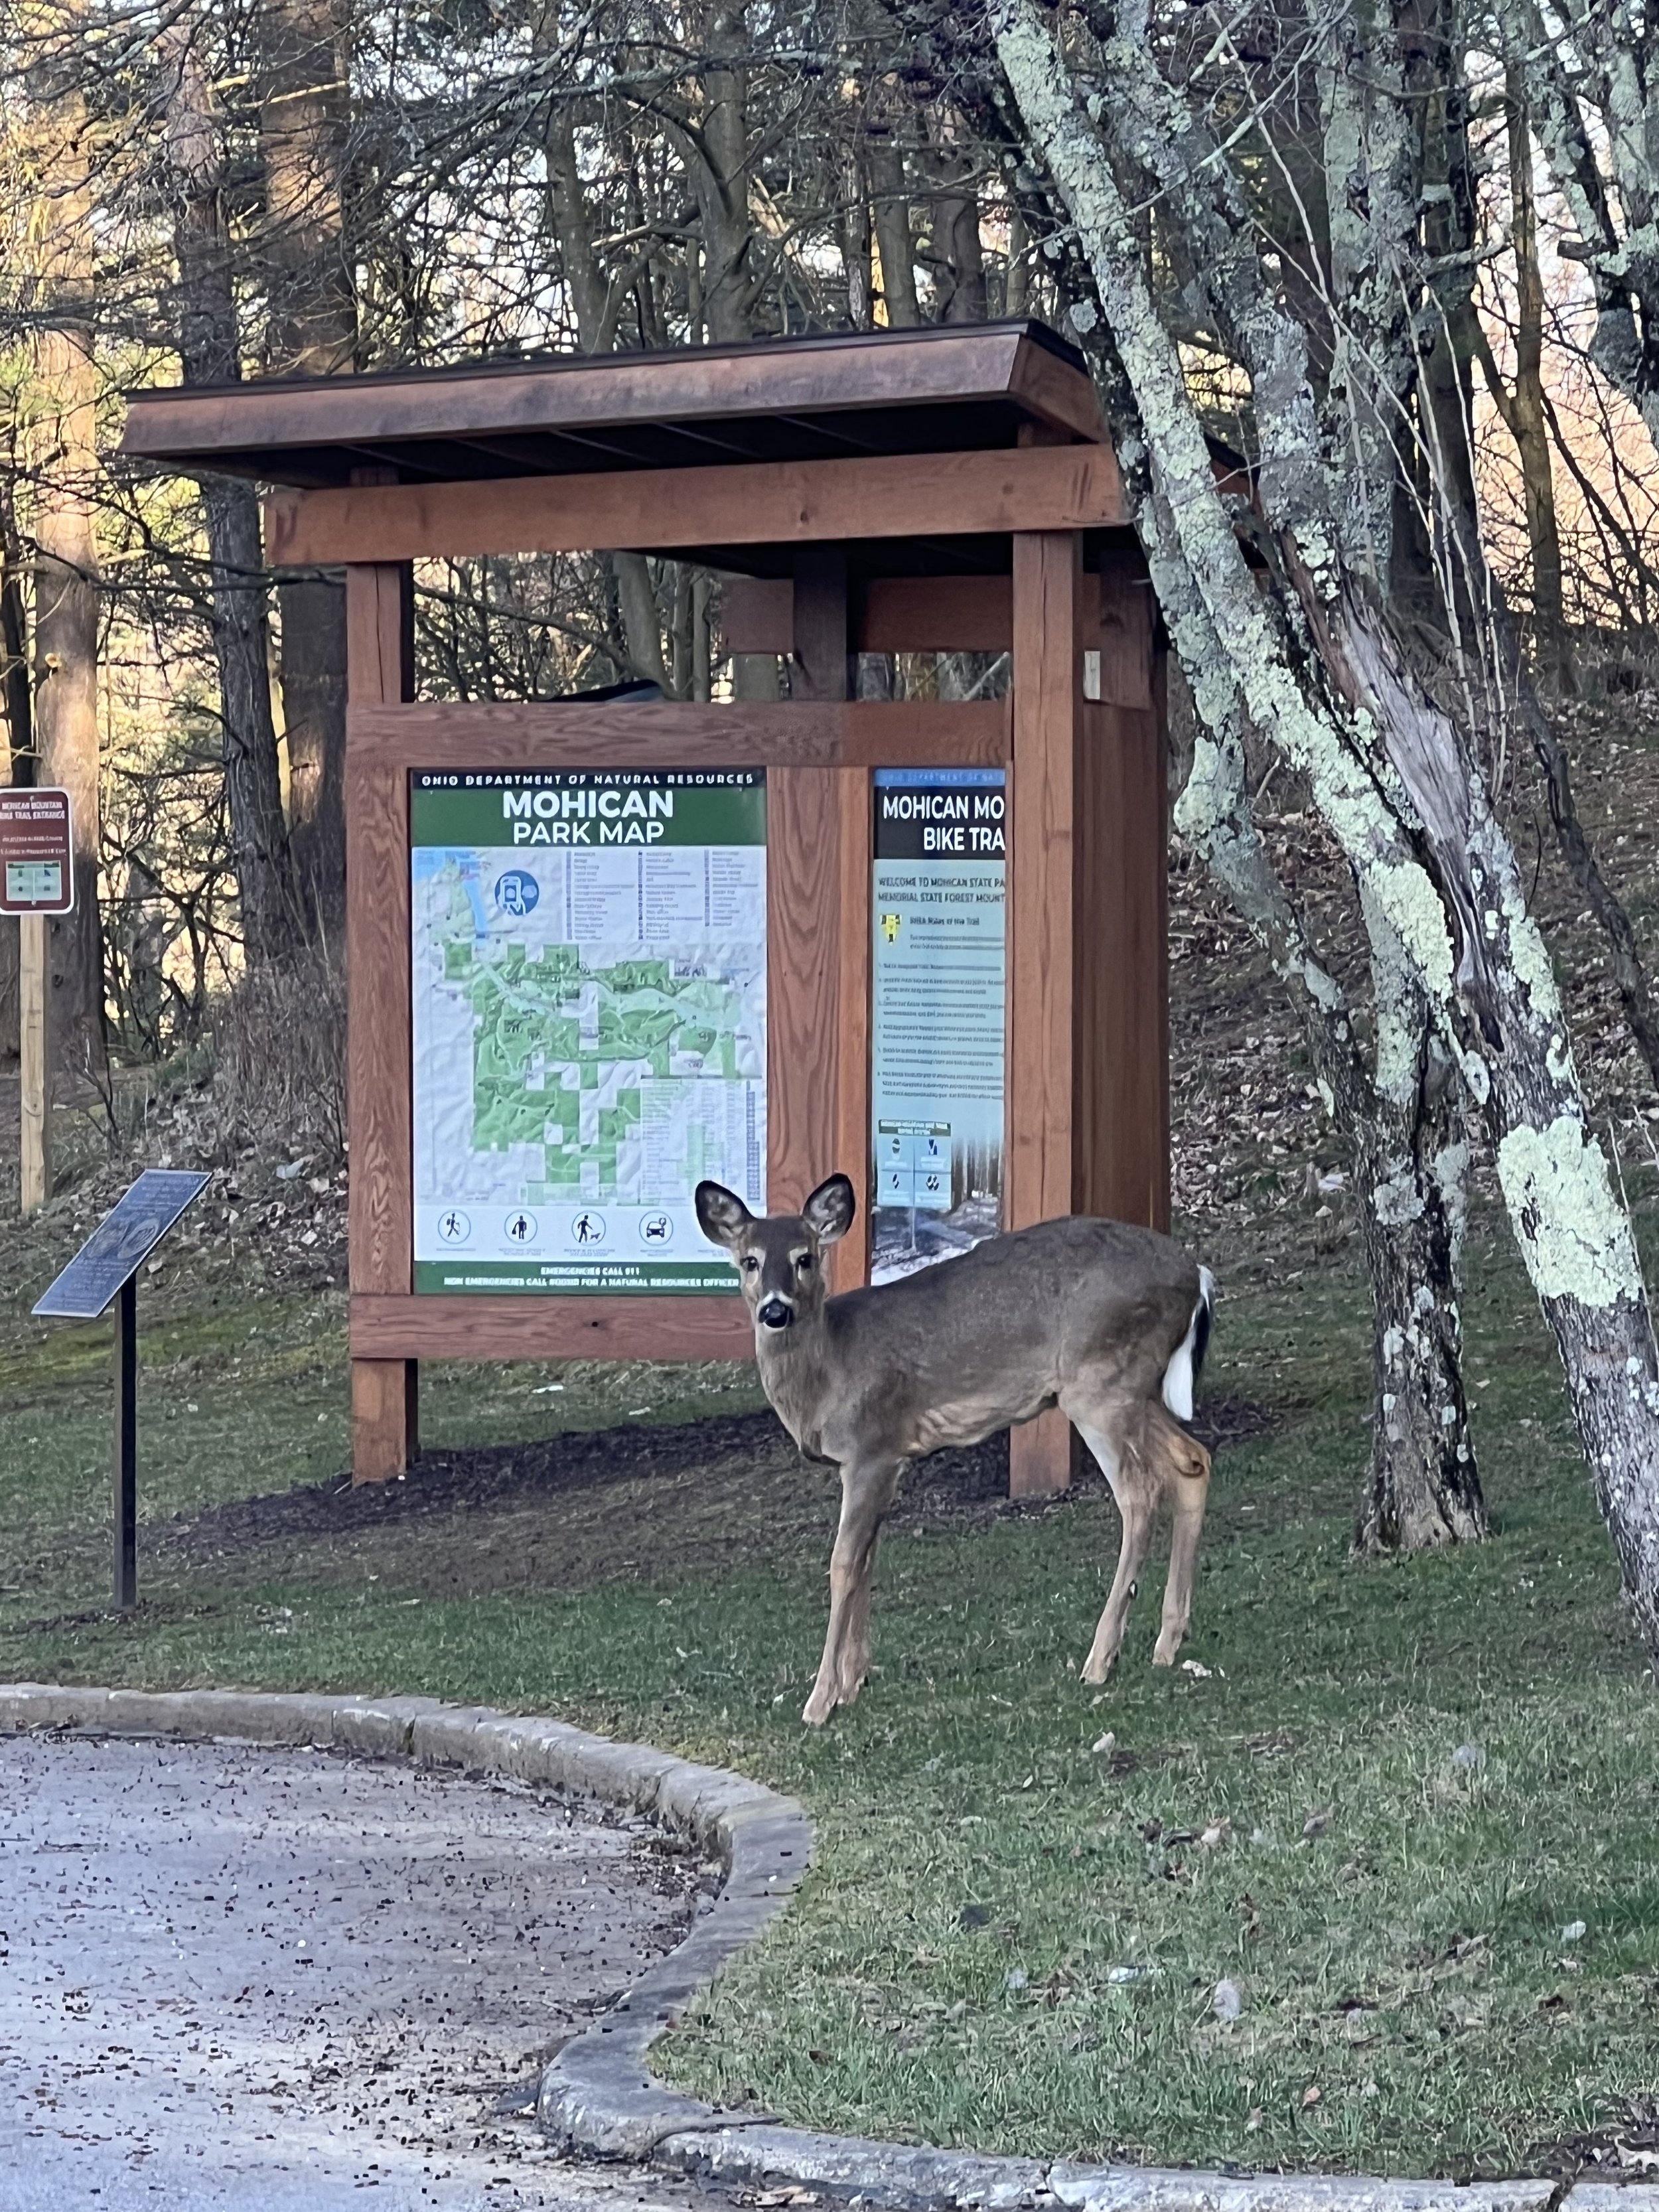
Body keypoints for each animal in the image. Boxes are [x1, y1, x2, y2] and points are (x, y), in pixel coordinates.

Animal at [695, 1172, 1216, 1726]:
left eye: (805, 1257)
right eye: (749, 1260)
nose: (775, 1311)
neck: (831, 1369)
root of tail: (1196, 1274)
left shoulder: (871, 1447)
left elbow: (843, 1562)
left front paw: (820, 1699)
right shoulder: (881, 1460)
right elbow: (867, 1559)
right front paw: (853, 1681)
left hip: (1099, 1383)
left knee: (1140, 1492)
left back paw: (1100, 1658)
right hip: (1134, 1389)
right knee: (1192, 1460)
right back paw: (1167, 1642)